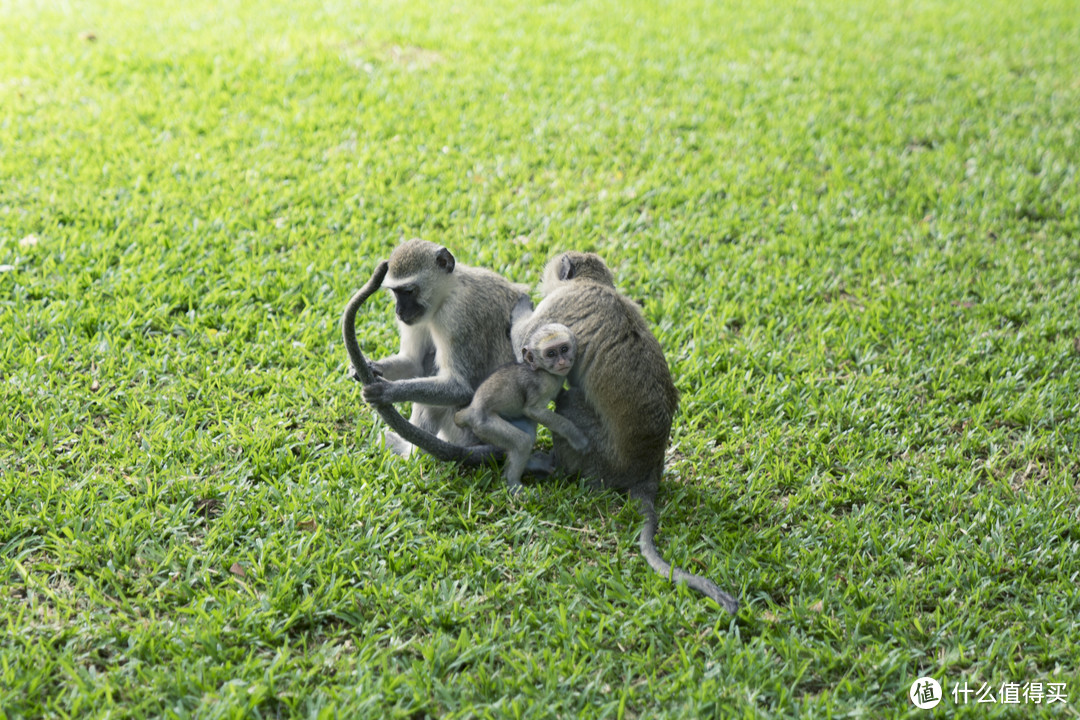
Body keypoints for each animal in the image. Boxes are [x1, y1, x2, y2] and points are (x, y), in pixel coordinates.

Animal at [343, 239, 529, 464]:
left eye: (408, 291)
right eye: (396, 292)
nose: (399, 312)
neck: (450, 290)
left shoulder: (456, 317)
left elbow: (460, 387)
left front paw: (388, 391)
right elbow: (412, 362)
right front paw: (369, 367)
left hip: (462, 429)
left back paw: (410, 455)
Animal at [455, 323, 591, 492]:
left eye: (564, 349)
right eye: (551, 353)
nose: (561, 362)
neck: (543, 370)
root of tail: (471, 409)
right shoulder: (543, 383)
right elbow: (532, 411)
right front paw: (576, 437)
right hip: (483, 424)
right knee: (522, 442)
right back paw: (514, 483)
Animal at [509, 252, 738, 613]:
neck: (594, 283)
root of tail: (647, 469)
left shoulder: (556, 304)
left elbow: (523, 343)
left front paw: (520, 304)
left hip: (601, 457)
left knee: (570, 403)